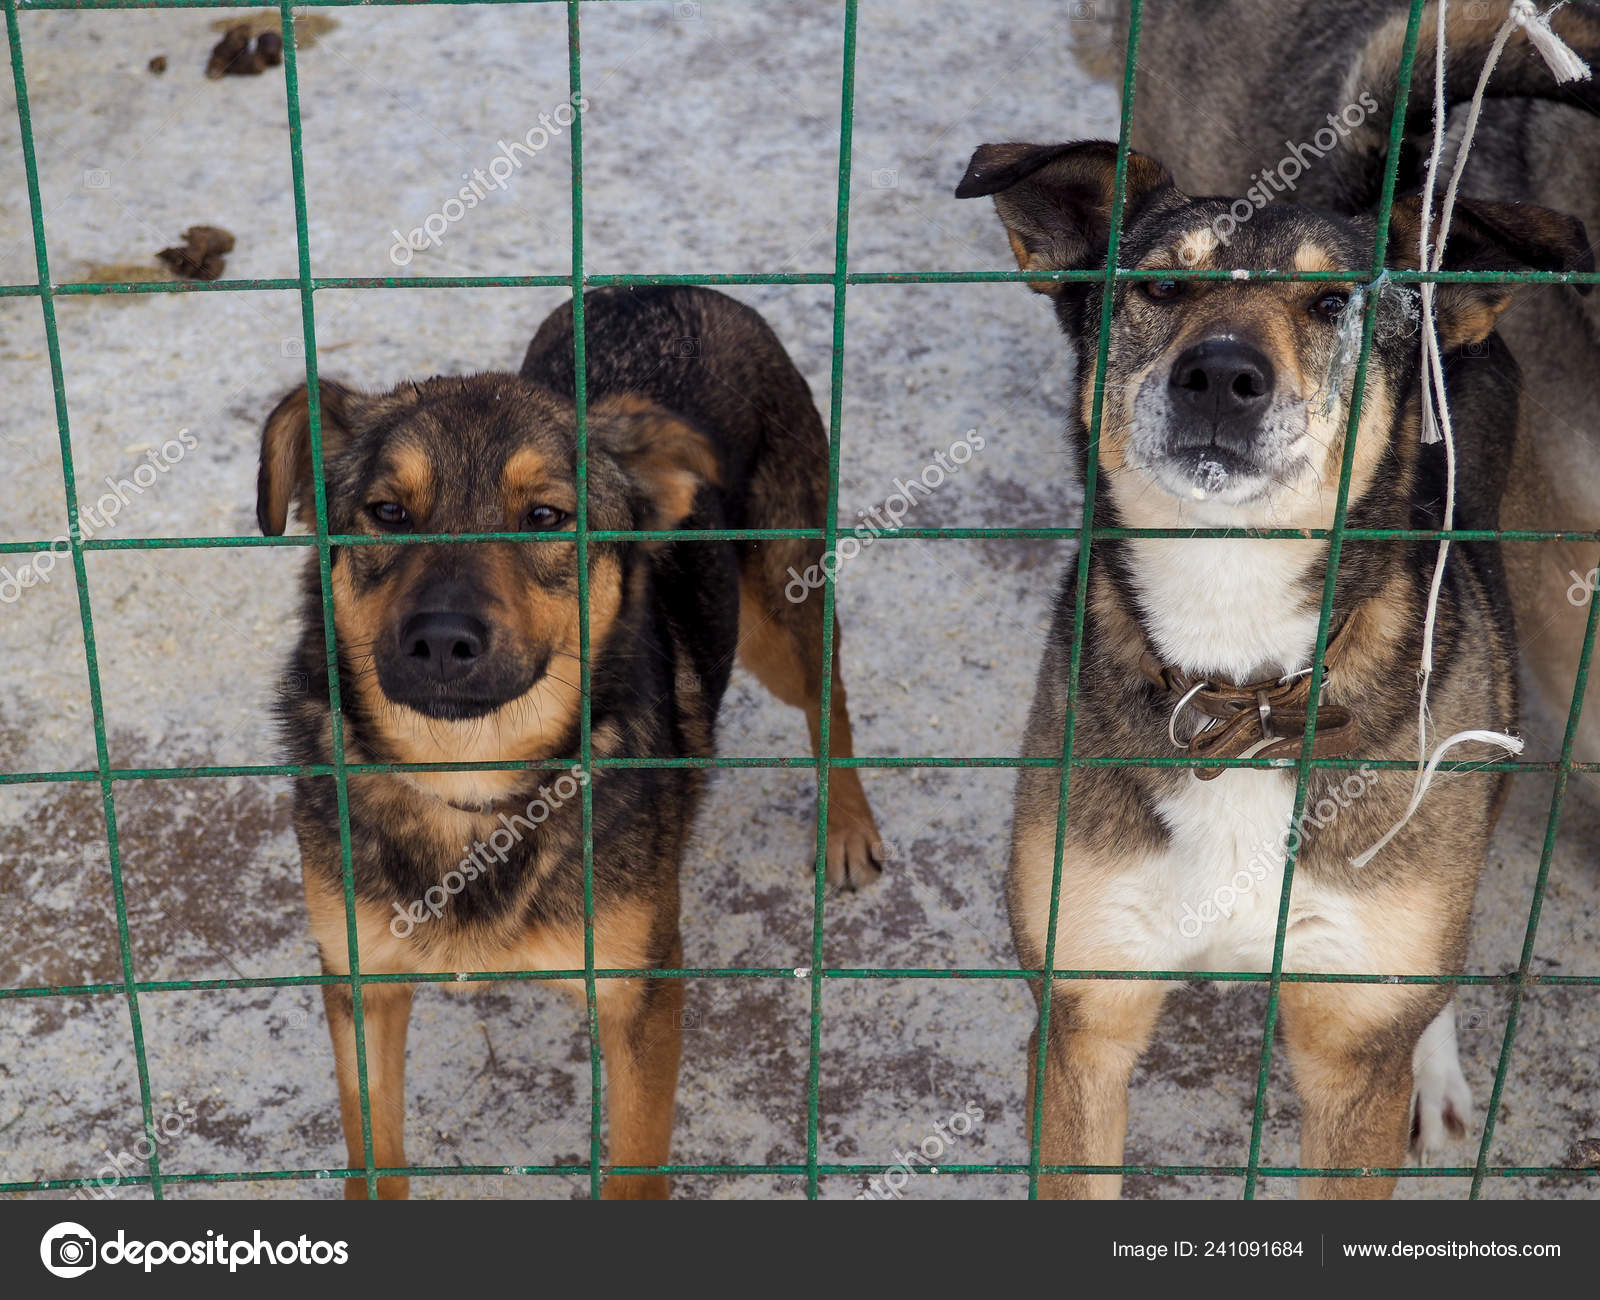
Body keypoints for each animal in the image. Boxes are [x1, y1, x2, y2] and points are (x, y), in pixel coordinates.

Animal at [262, 284, 889, 1197]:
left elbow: (633, 1167)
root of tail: (662, 287)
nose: (440, 640)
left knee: (829, 689)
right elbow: (374, 1156)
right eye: (386, 512)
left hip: (780, 607)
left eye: (546, 516)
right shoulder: (361, 977)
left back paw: (847, 826)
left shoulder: (641, 990)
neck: (473, 788)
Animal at [953, 142, 1593, 1197]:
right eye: (1163, 284)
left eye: (1333, 301)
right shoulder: (1084, 1015)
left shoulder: (1352, 1048)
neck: (1243, 691)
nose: (1219, 374)